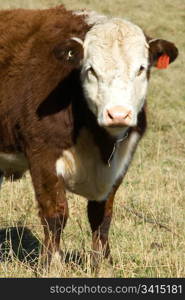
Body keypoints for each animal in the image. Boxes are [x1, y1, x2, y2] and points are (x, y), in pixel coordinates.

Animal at [0, 7, 178, 272]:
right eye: (91, 70)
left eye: (141, 68)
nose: (118, 114)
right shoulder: (42, 153)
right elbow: (55, 213)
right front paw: (52, 264)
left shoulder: (120, 161)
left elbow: (102, 216)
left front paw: (102, 262)